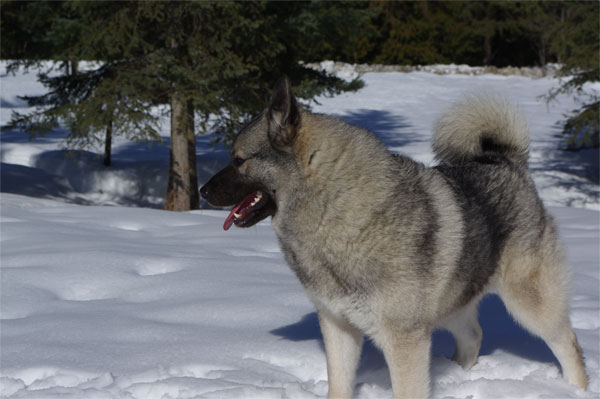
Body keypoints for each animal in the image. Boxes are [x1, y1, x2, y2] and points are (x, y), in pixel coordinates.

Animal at [199, 76, 588, 398]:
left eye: (238, 160)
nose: (202, 190)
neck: (337, 208)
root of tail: (505, 160)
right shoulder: (339, 327)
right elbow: (339, 385)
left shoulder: (403, 339)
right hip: (452, 303)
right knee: (473, 337)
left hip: (530, 303)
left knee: (568, 343)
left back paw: (575, 389)